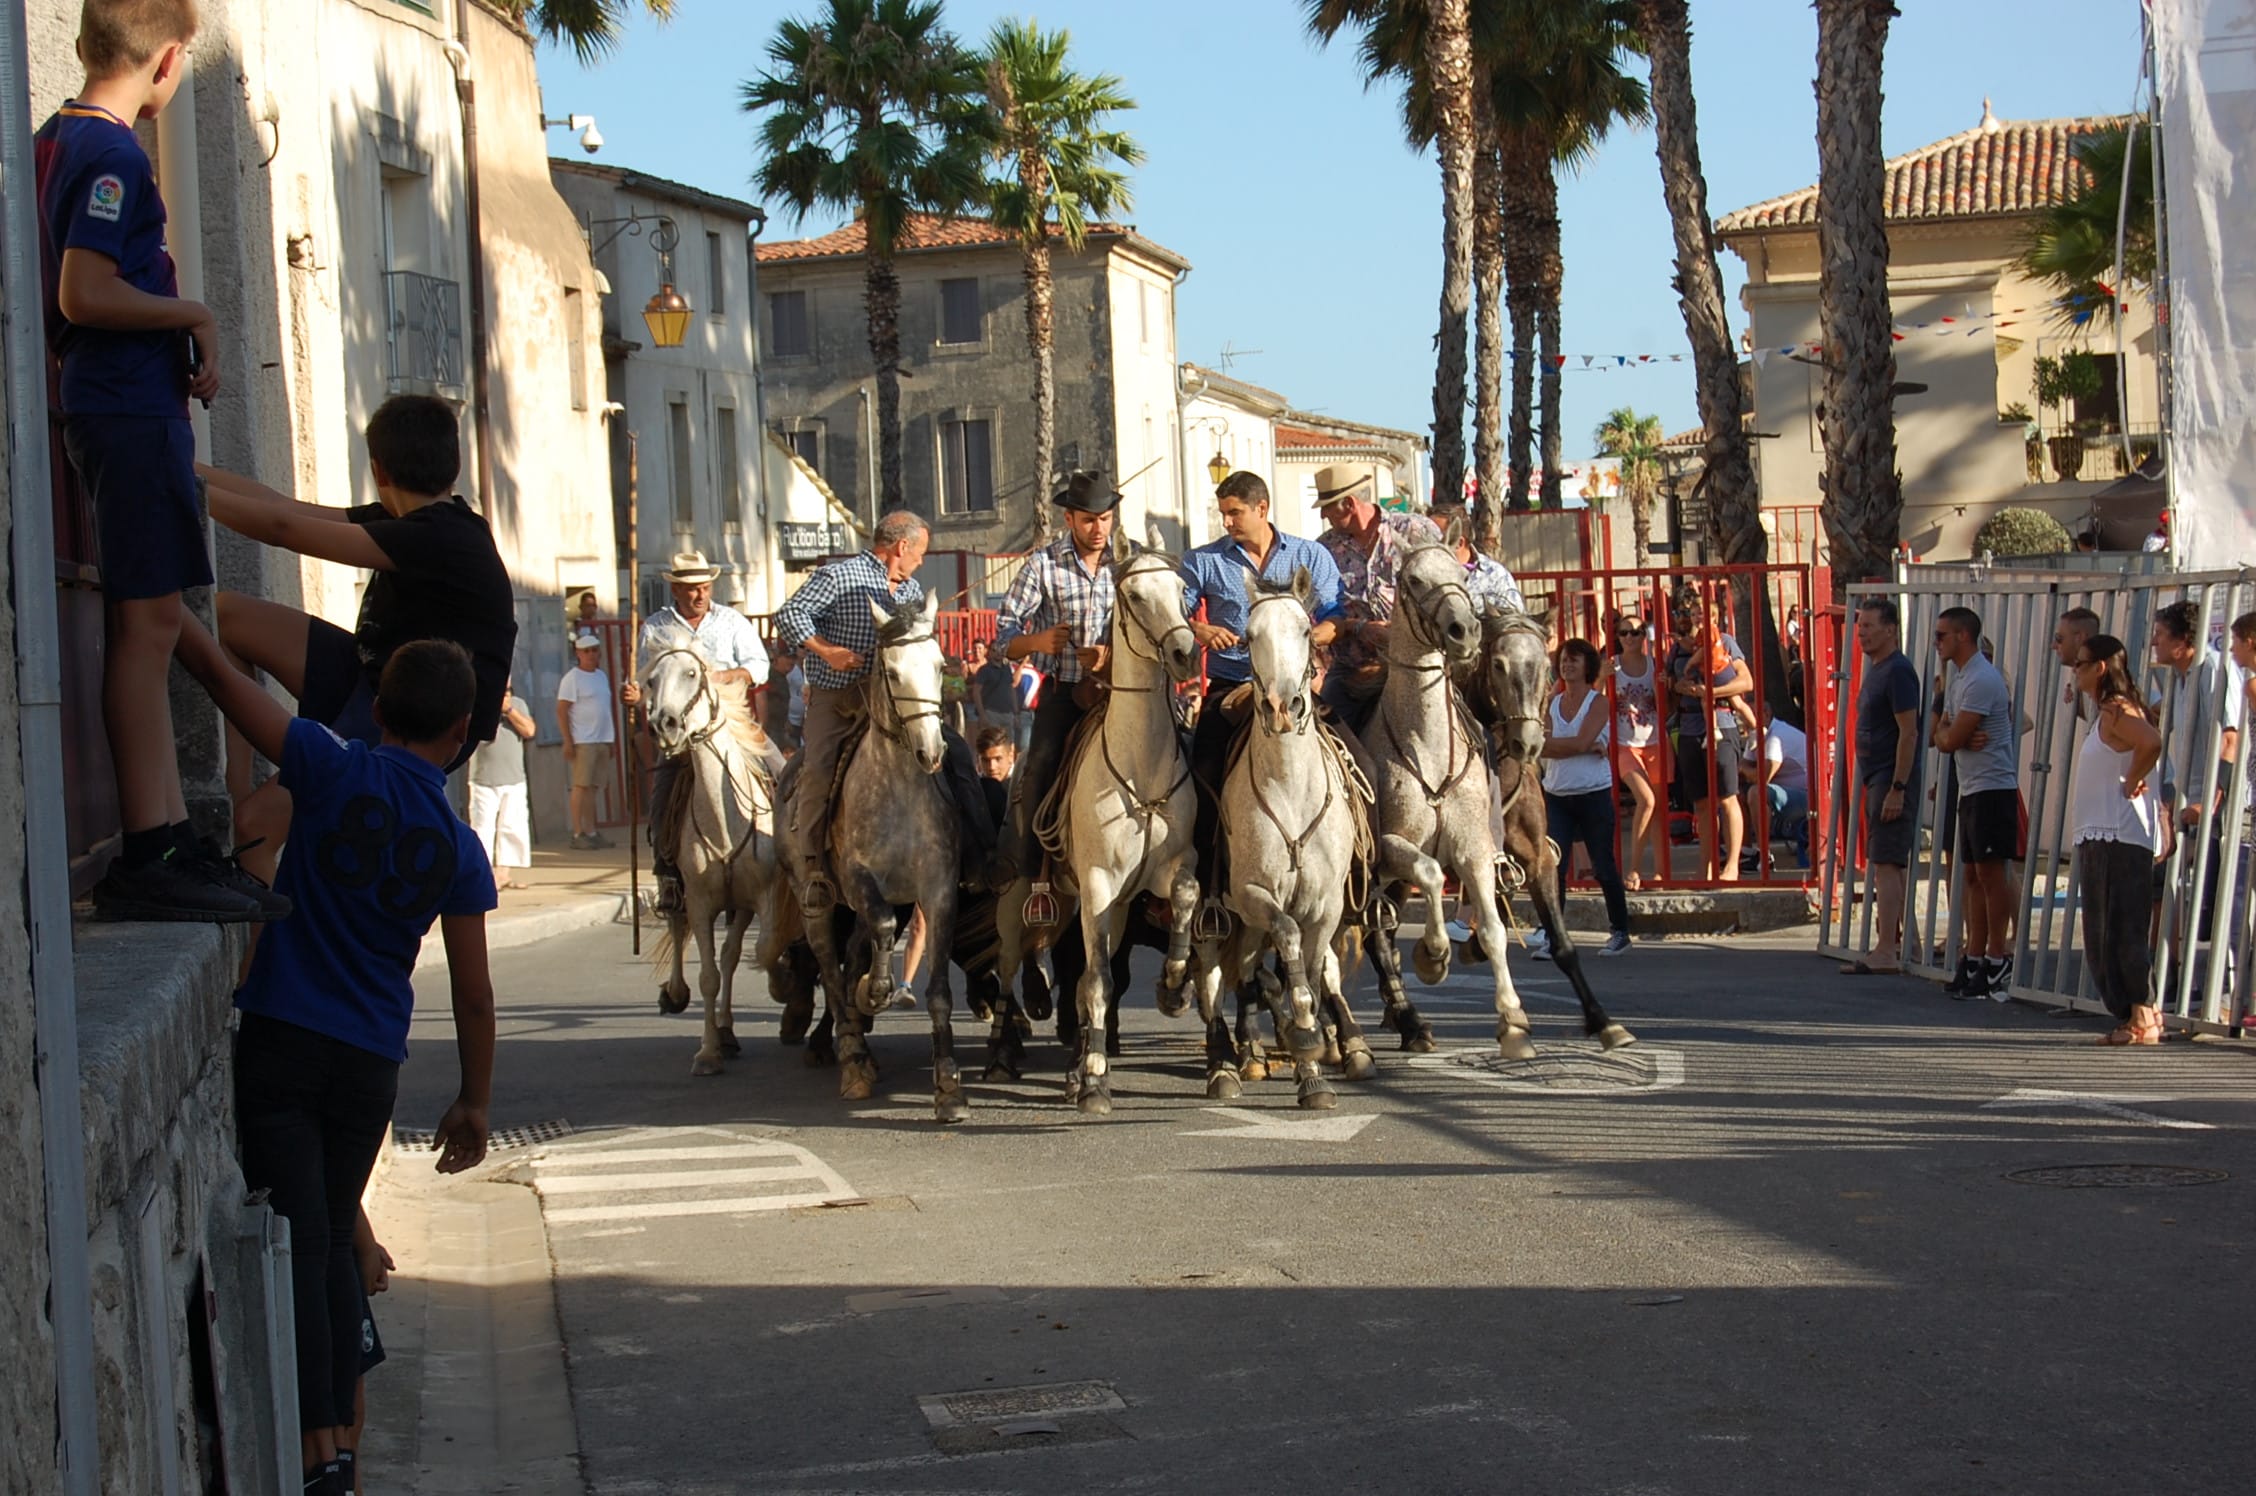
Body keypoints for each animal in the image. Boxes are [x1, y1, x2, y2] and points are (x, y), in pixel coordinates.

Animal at [645, 627, 785, 1078]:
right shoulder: (702, 901)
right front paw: (707, 1053)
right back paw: (678, 998)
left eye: (692, 673)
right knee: (680, 929)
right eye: (650, 680)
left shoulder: (761, 896)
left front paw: (780, 984)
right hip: (681, 890)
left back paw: (728, 1029)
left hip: (737, 906)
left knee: (732, 955)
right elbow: (707, 976)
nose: (665, 724)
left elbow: (764, 948)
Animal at [1191, 573, 1362, 1110]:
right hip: (1223, 911)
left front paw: (1313, 1070)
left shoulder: (1326, 907)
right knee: (1220, 974)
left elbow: (1309, 977)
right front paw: (1305, 1044)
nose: (1283, 708)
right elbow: (1285, 942)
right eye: (1248, 637)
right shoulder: (1252, 895)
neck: (1289, 791)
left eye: (1306, 630)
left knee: (1252, 972)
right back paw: (1227, 1064)